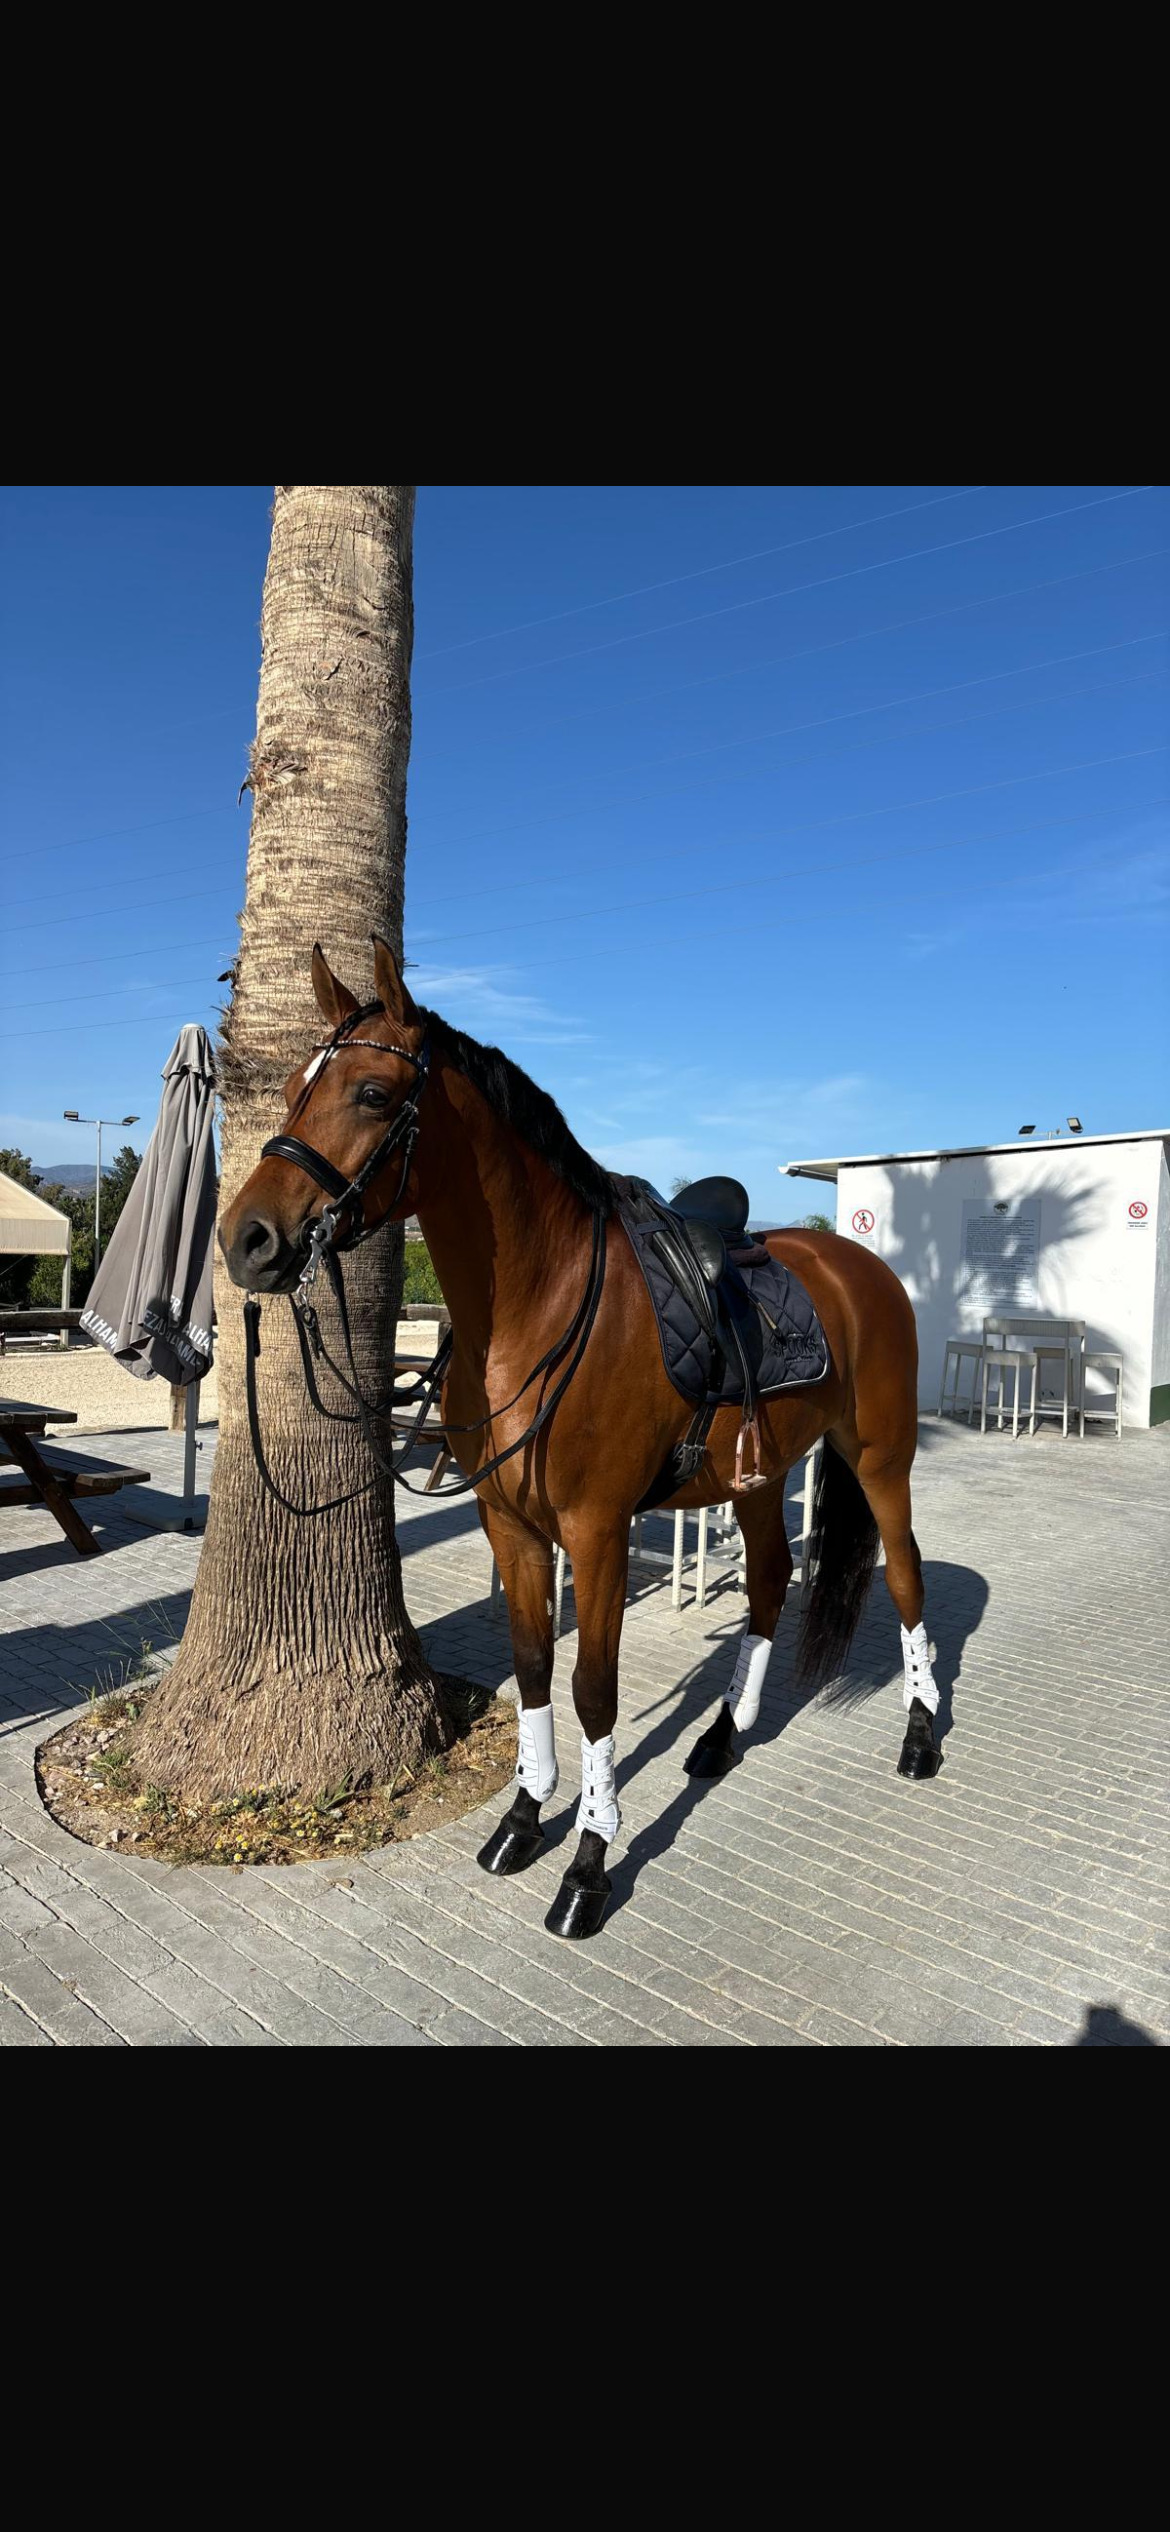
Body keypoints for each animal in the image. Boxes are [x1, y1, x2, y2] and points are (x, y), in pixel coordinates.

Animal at [220, 937, 941, 1942]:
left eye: (370, 1093)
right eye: (291, 1087)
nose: (246, 1239)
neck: (543, 1303)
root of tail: (859, 1264)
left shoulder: (596, 1532)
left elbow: (593, 1689)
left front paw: (590, 1864)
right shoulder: (512, 1526)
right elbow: (531, 1668)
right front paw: (525, 1819)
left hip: (880, 1460)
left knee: (906, 1577)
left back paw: (920, 1734)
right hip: (758, 1480)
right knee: (766, 1583)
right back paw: (723, 1734)